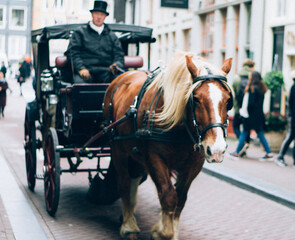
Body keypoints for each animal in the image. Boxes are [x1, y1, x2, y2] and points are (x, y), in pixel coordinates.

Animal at [104, 52, 234, 240]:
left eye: (228, 100)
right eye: (196, 99)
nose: (217, 149)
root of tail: (122, 76)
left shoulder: (194, 164)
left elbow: (180, 198)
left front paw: (170, 231)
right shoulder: (154, 159)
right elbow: (168, 196)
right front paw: (162, 232)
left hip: (135, 154)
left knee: (134, 178)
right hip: (118, 150)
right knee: (124, 183)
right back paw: (129, 227)